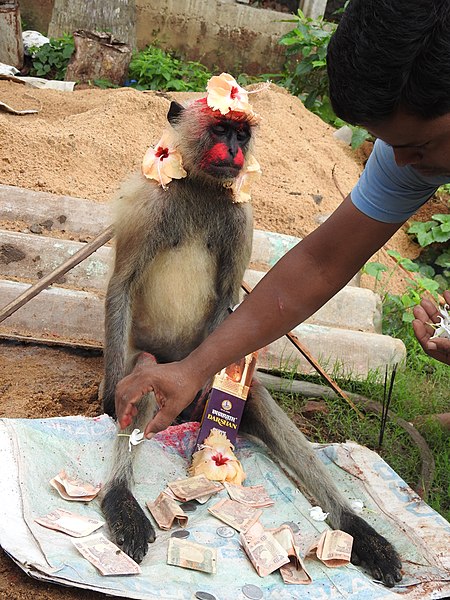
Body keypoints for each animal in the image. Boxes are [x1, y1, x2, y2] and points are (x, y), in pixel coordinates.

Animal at [101, 95, 400, 584]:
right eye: (220, 130)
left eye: (241, 134)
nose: (236, 151)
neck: (201, 188)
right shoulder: (151, 204)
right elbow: (121, 287)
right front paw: (108, 400)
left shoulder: (241, 216)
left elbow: (227, 296)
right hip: (154, 359)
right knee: (145, 371)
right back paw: (120, 500)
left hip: (200, 367)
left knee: (250, 392)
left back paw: (357, 529)